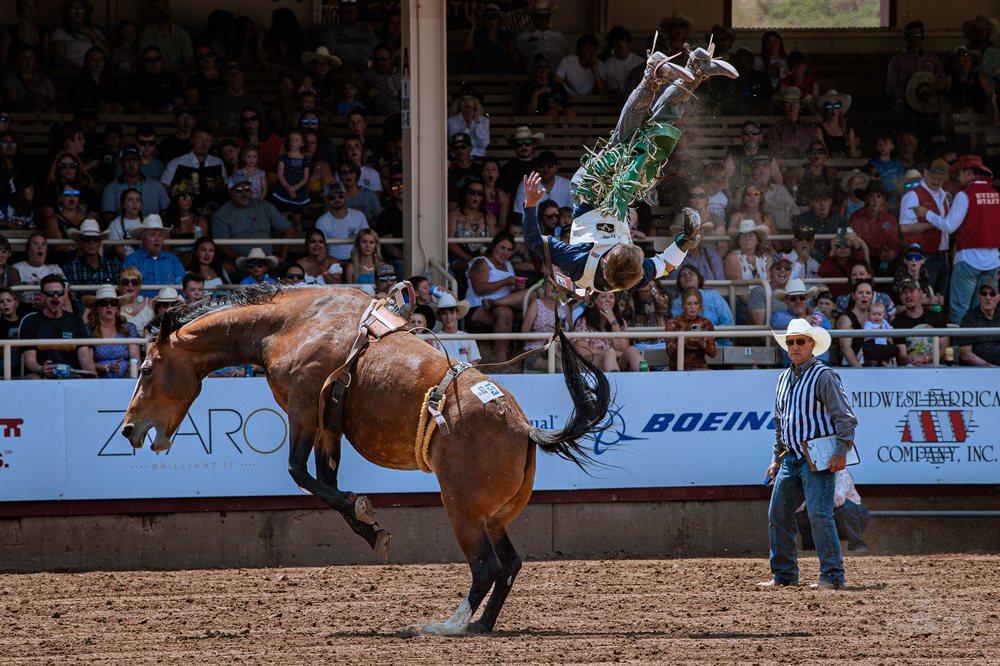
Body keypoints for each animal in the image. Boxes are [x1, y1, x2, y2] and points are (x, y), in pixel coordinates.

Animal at [122, 282, 612, 632]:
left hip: (463, 511)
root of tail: (525, 428)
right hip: (493, 516)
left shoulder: (304, 408)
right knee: (509, 565)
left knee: (487, 566)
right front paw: (369, 526)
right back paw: (481, 626)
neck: (289, 324)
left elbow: (300, 473)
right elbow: (326, 483)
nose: (128, 429)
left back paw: (448, 626)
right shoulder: (328, 425)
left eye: (146, 369)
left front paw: (363, 512)